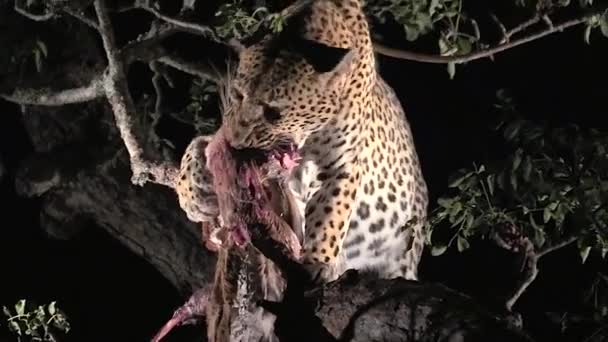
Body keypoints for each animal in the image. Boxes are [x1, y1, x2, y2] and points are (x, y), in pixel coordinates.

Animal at [177, 0, 428, 284]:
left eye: (274, 112)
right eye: (238, 94)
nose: (236, 143)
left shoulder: (342, 166)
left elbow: (331, 212)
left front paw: (318, 261)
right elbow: (198, 148)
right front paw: (193, 189)